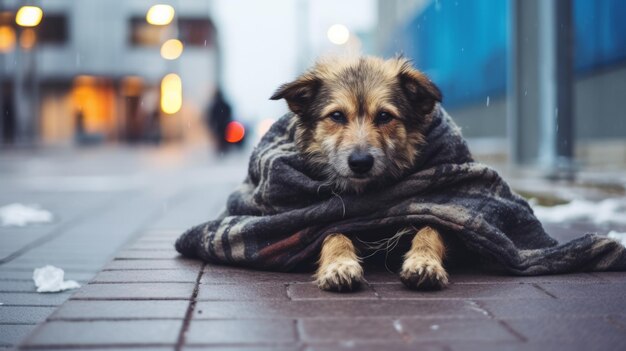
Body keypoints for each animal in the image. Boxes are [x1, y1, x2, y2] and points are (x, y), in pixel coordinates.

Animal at [270, 56, 446, 292]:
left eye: (384, 116)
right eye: (336, 115)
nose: (360, 163)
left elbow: (431, 229)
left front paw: (425, 263)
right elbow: (332, 233)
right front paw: (340, 265)